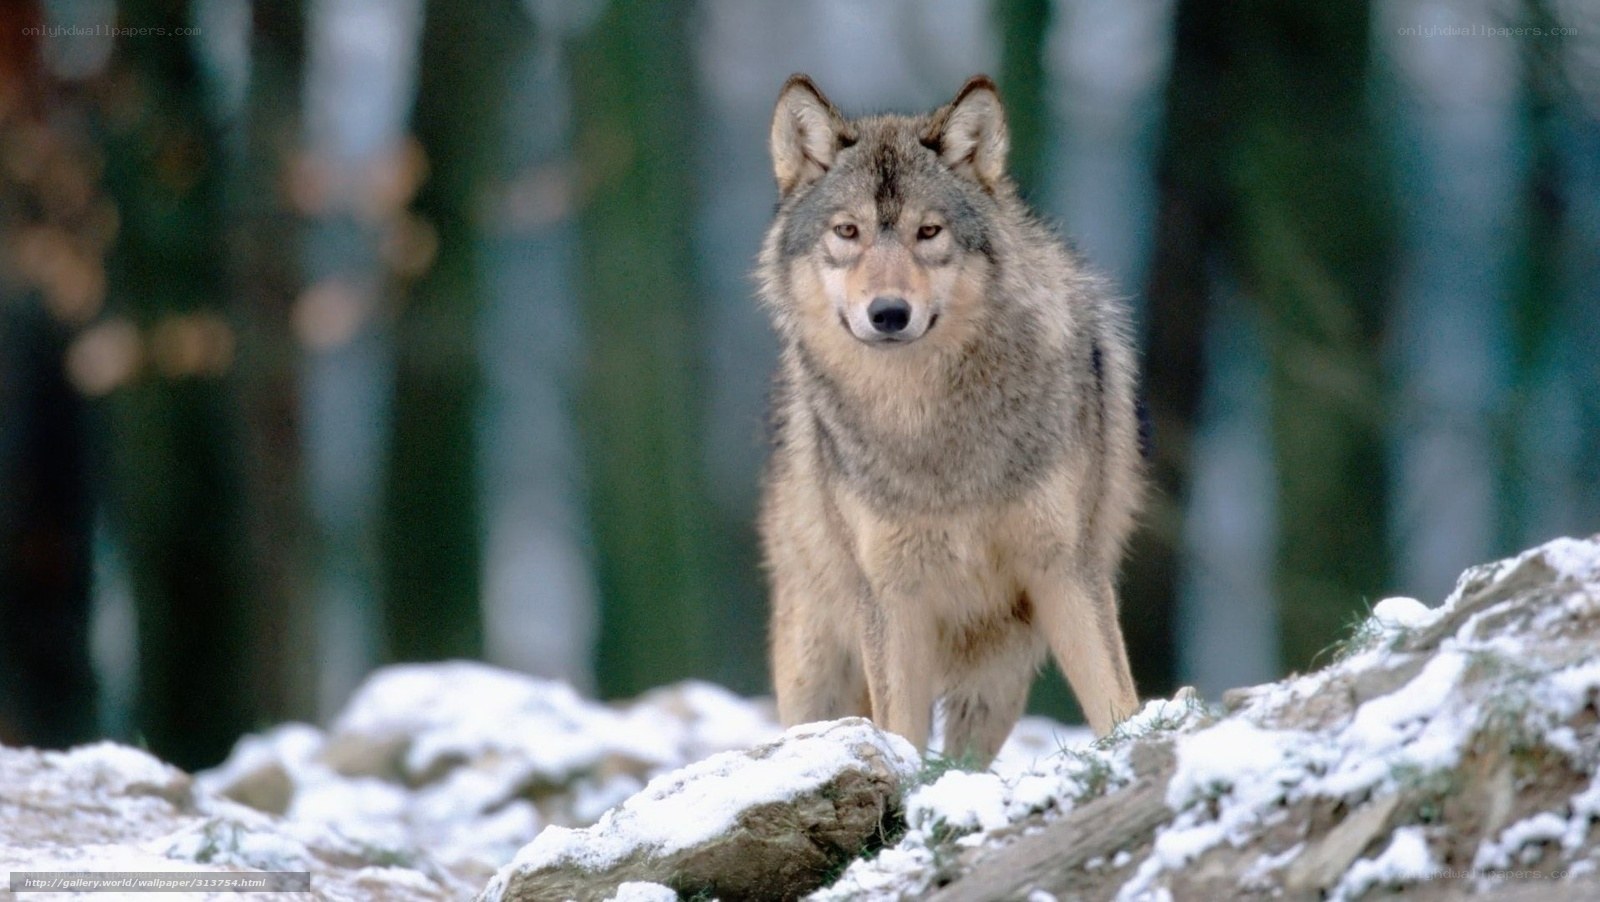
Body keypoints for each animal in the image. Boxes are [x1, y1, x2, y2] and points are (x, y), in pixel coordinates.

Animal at [756, 73, 1144, 763]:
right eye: (848, 231)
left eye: (929, 232)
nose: (888, 313)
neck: (929, 427)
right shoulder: (892, 596)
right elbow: (901, 733)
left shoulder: (1066, 568)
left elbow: (1114, 700)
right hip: (816, 669)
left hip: (996, 677)